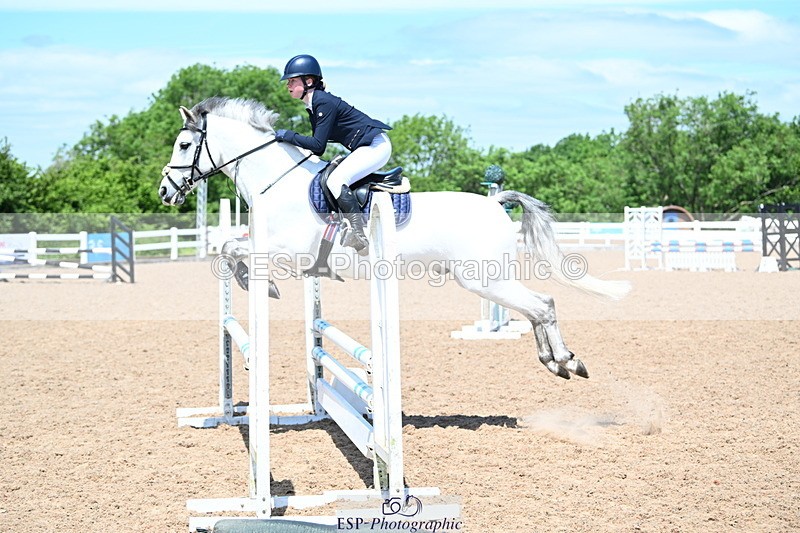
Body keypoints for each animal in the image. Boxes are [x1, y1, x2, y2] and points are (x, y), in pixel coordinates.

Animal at [159, 96, 630, 380]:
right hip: (490, 280)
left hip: (483, 279)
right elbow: (227, 247)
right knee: (535, 308)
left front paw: (264, 286)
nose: (165, 191)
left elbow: (233, 249)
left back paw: (566, 360)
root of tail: (497, 203)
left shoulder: (283, 252)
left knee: (542, 304)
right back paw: (556, 362)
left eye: (183, 145)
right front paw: (255, 284)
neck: (278, 180)